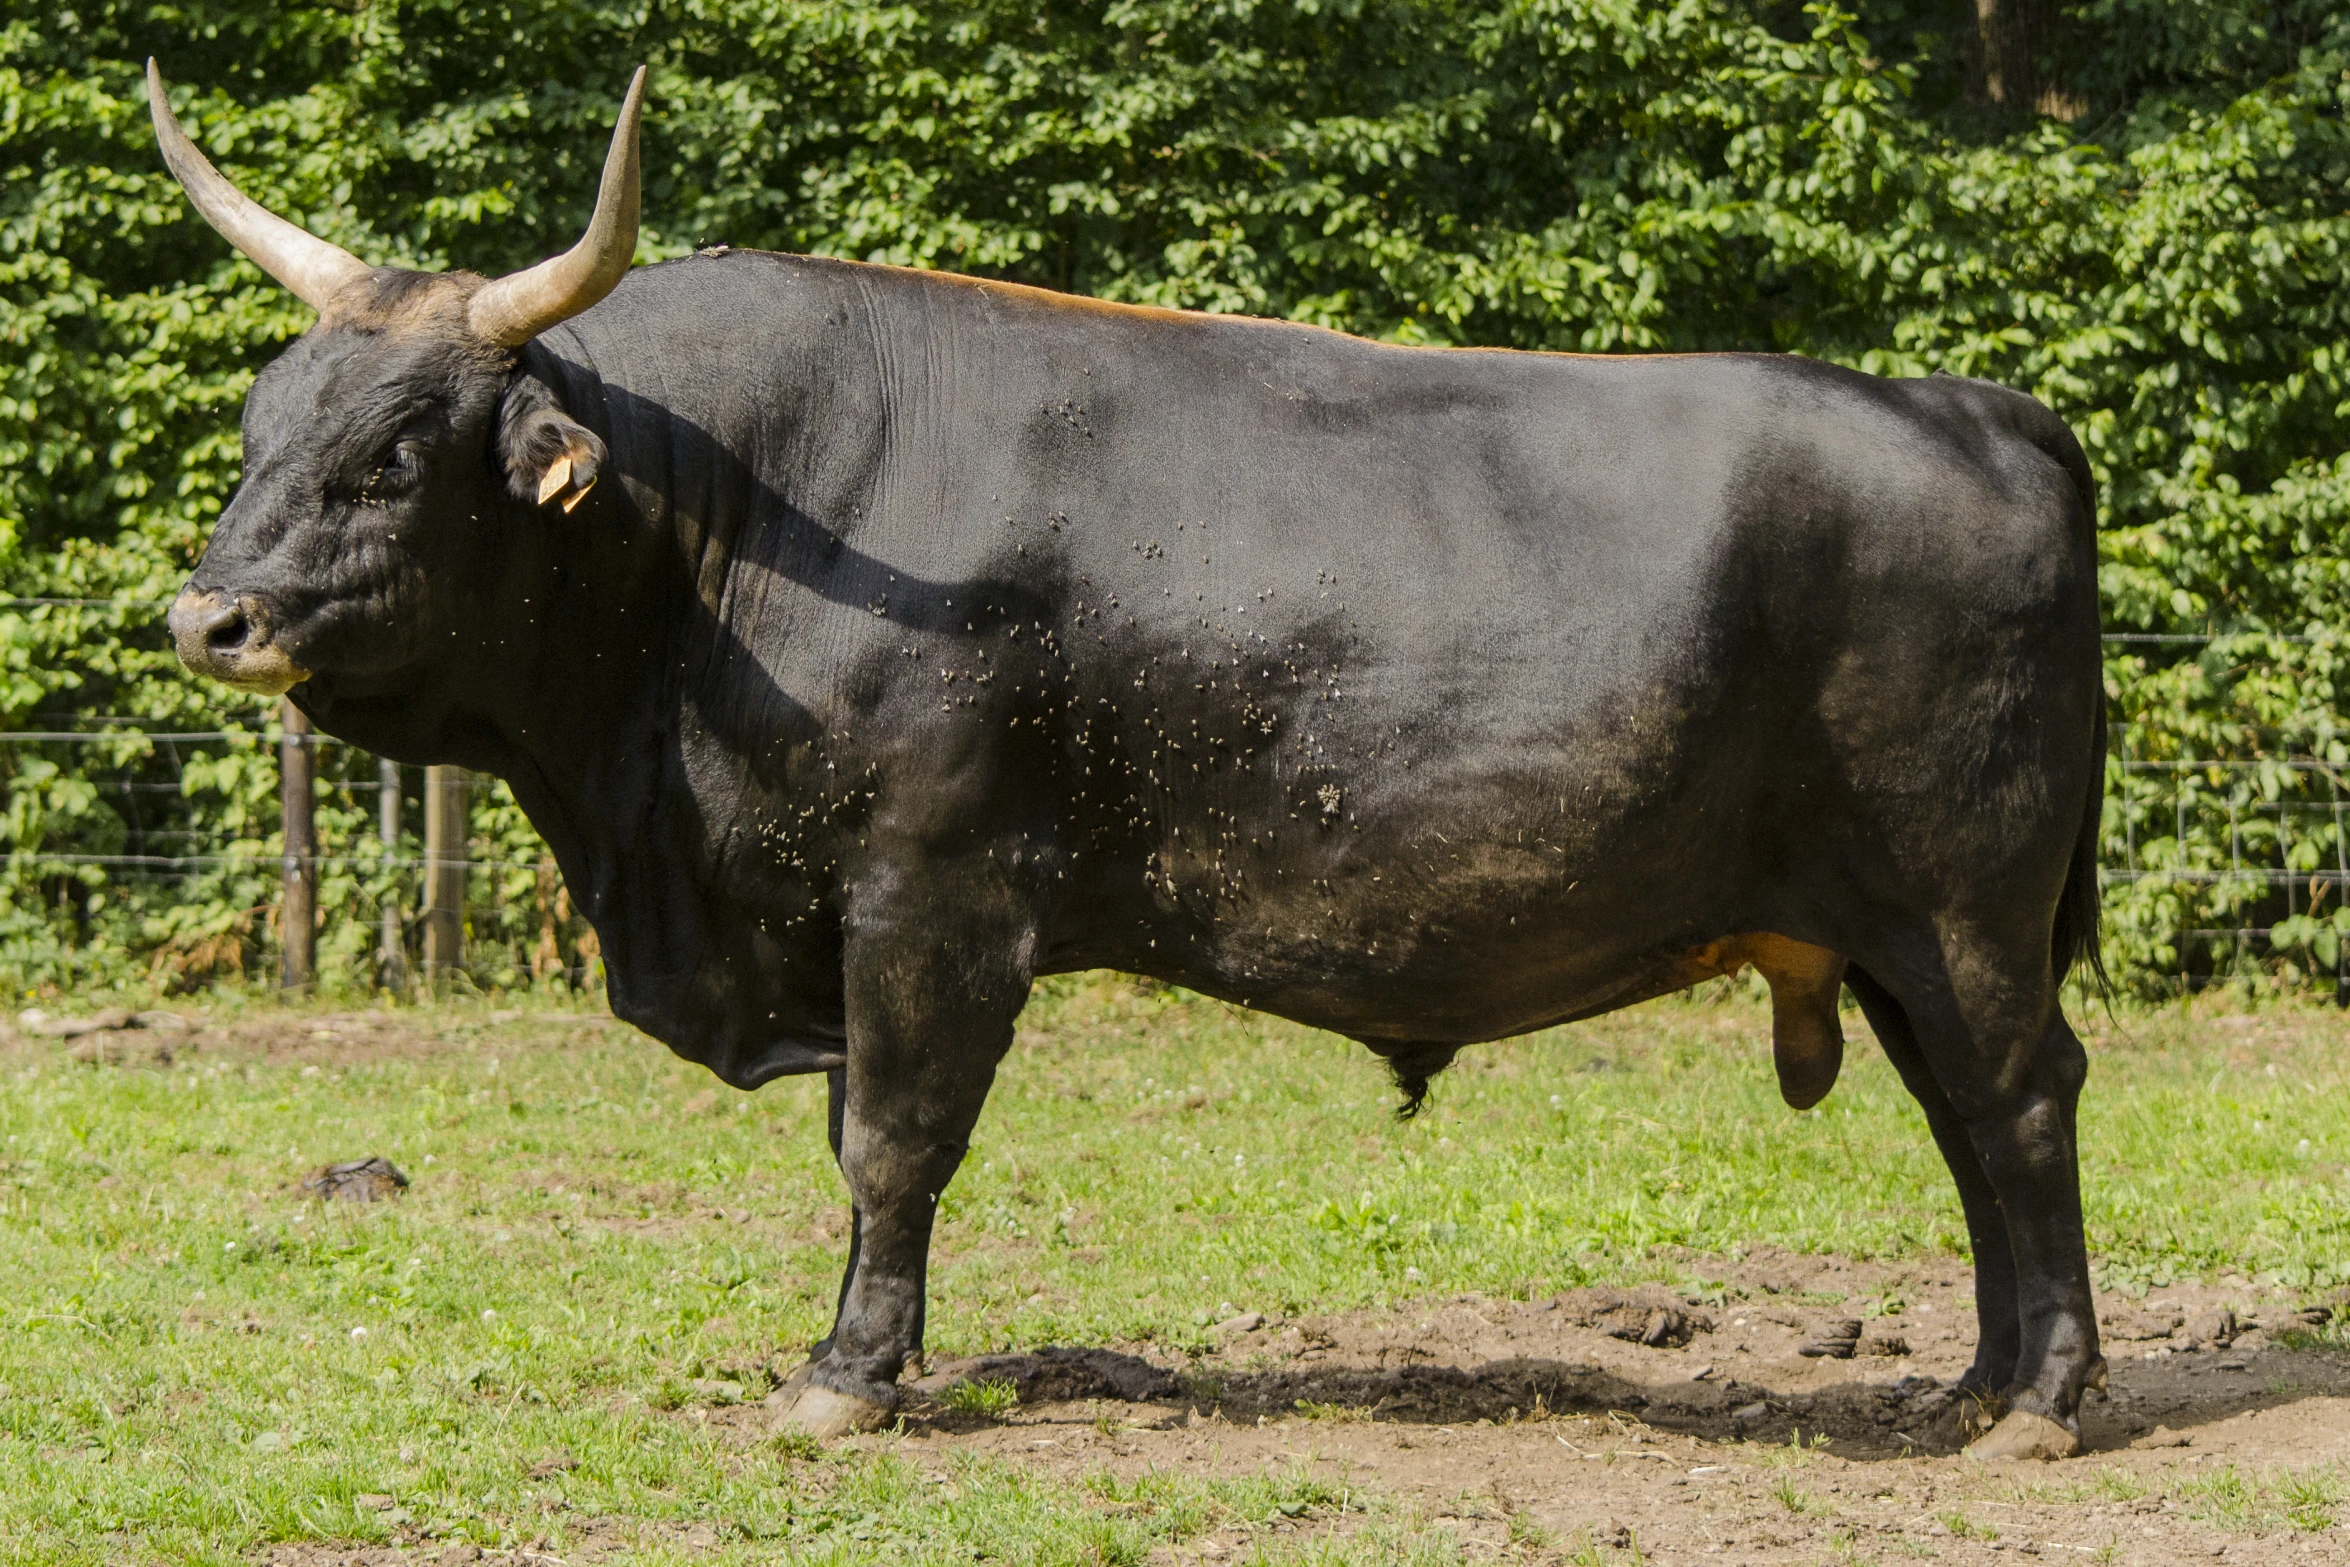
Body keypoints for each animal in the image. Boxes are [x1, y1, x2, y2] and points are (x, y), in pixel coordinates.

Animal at [173, 254, 2105, 1456]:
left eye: (396, 450)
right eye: (263, 426)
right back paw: (1972, 1375)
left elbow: (890, 1142)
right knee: (1967, 1124)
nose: (210, 615)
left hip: (1965, 906)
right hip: (1894, 932)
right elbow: (864, 1143)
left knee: (2019, 1105)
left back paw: (2043, 1397)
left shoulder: (931, 893)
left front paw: (844, 1377)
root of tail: (1979, 406)